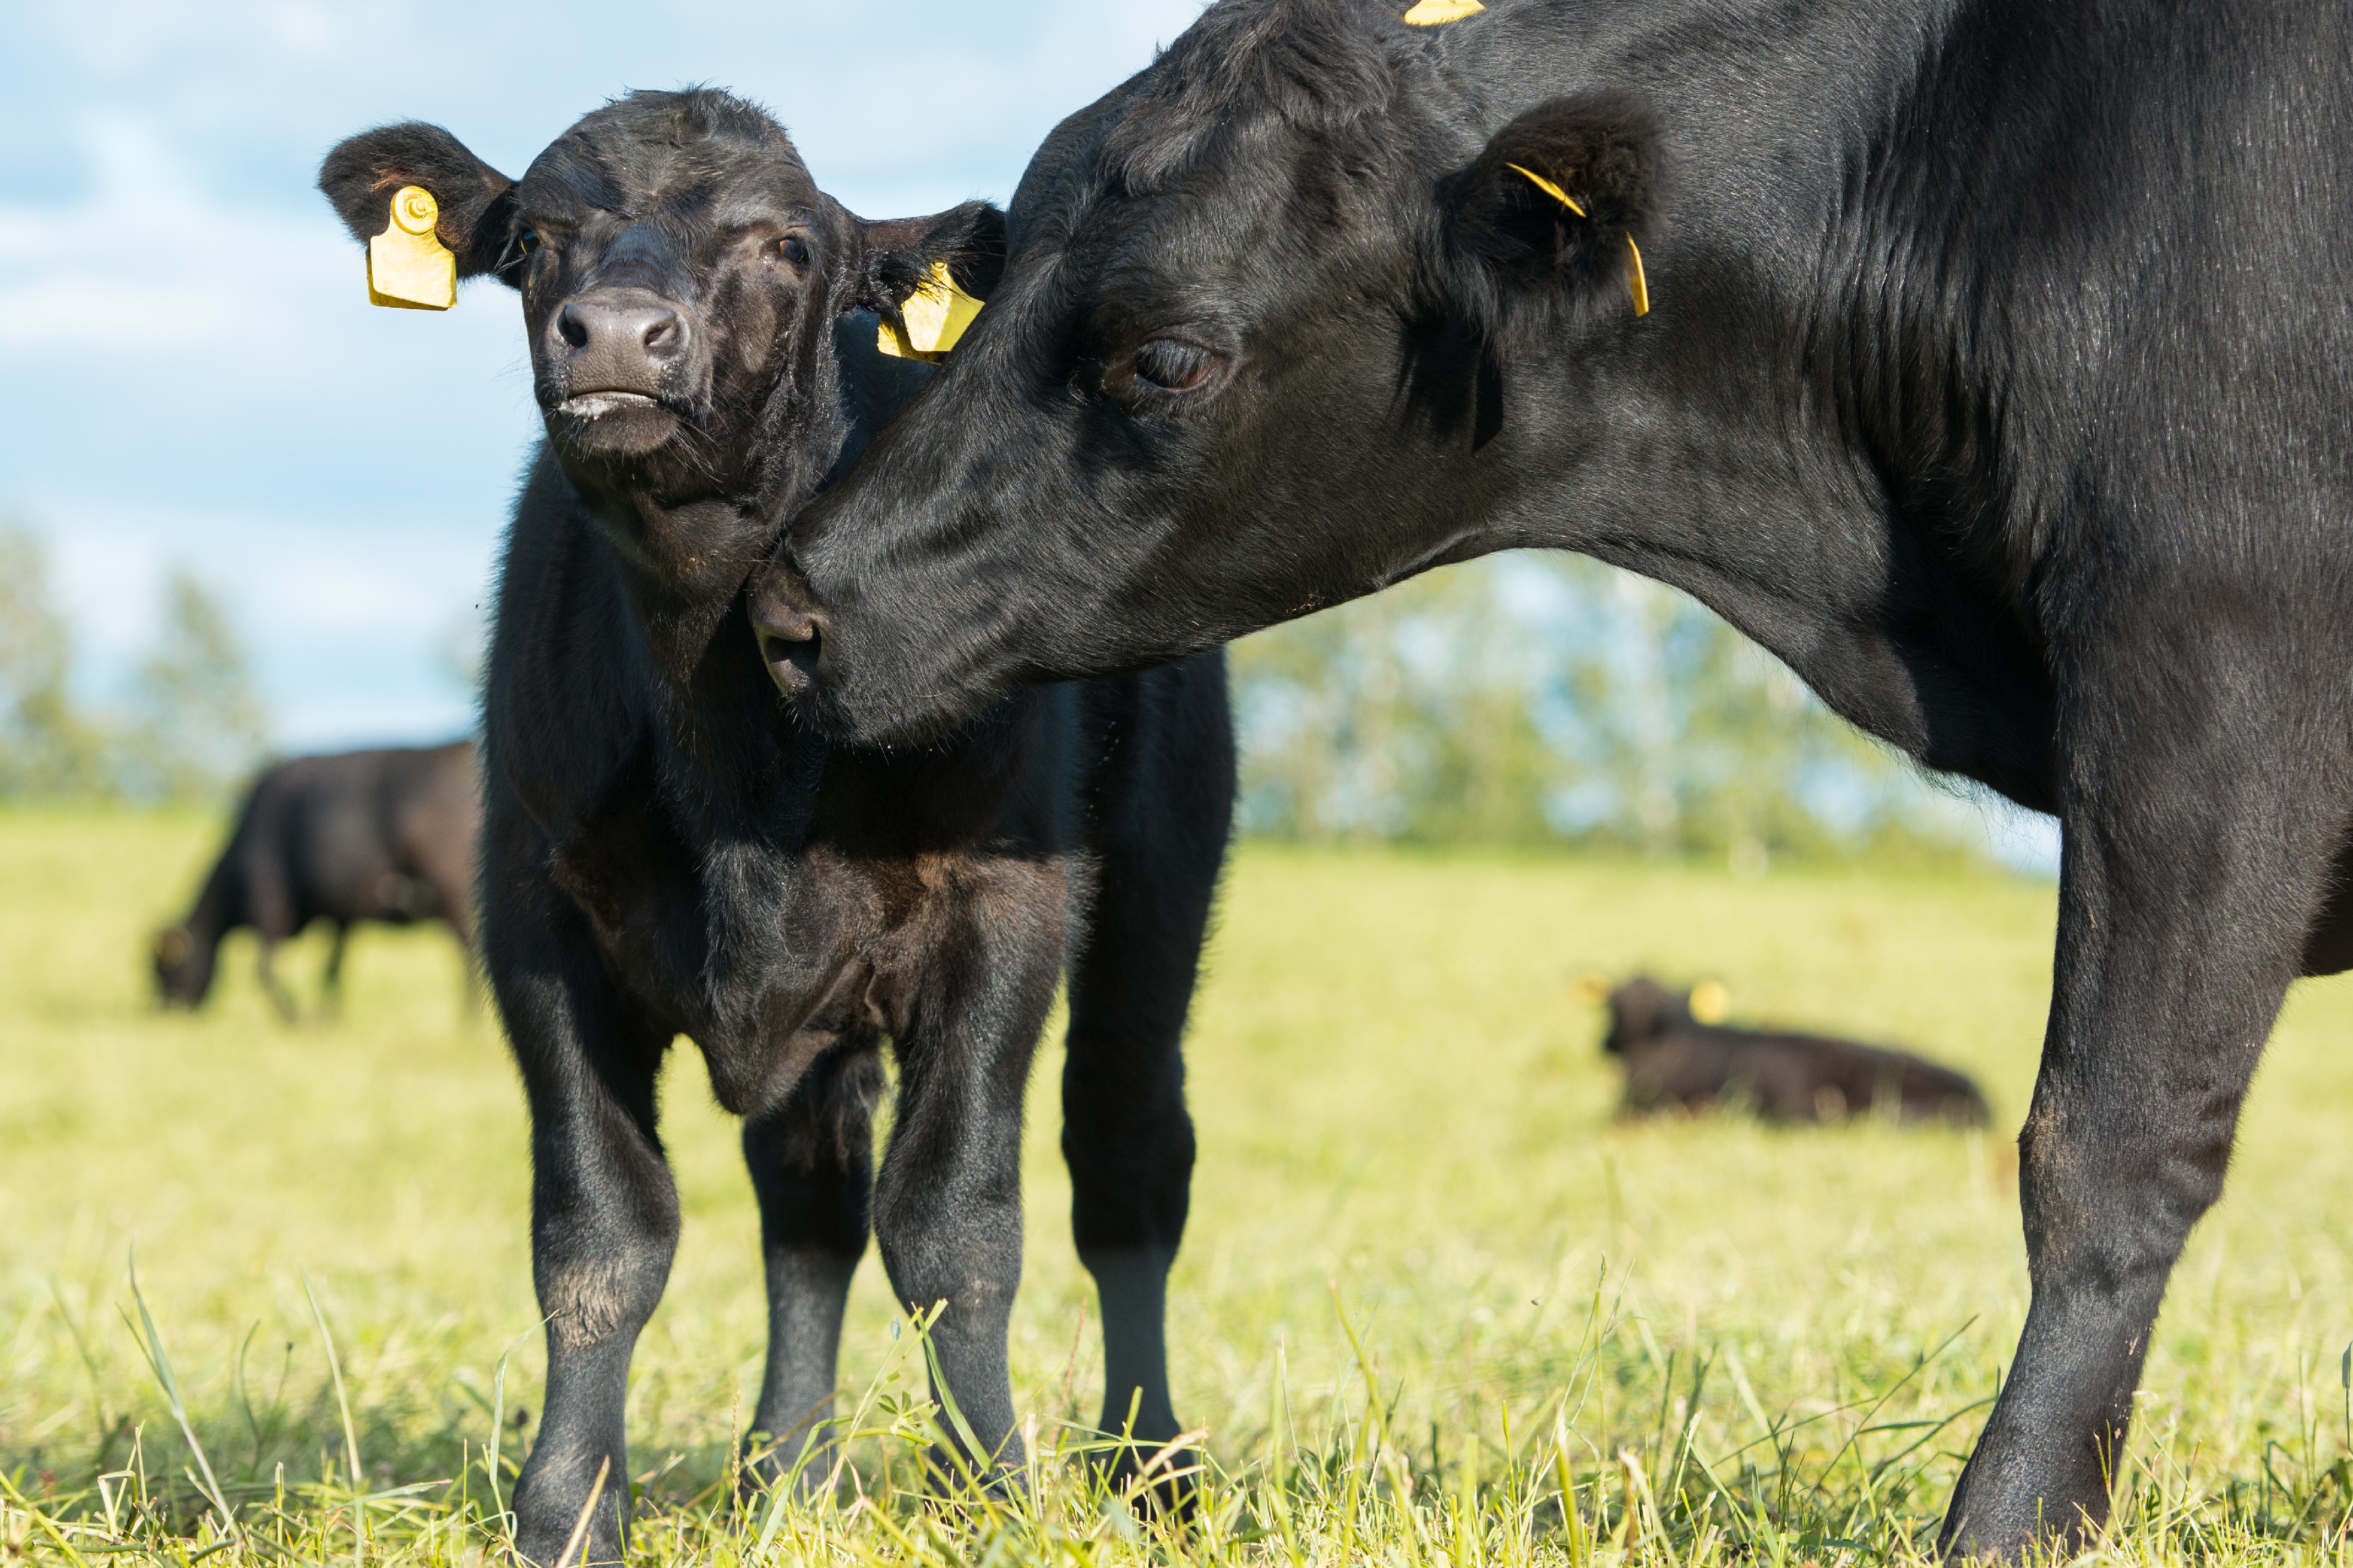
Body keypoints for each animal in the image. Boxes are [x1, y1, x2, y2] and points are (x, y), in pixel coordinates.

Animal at [151, 743, 477, 1025]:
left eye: (162, 968)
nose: (164, 1014)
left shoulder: (269, 907)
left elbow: (264, 971)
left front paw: (297, 1019)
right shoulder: (341, 916)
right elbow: (332, 969)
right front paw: (329, 1017)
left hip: (454, 896)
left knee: (470, 957)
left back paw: (467, 1025)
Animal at [325, 89, 1242, 1568]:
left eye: (785, 245)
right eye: (534, 235)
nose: (618, 333)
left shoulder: (1001, 910)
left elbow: (953, 1224)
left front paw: (990, 1489)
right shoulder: (536, 918)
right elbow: (600, 1230)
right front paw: (565, 1508)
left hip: (1163, 870)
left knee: (1125, 1156)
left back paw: (1150, 1467)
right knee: (808, 1205)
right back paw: (783, 1472)